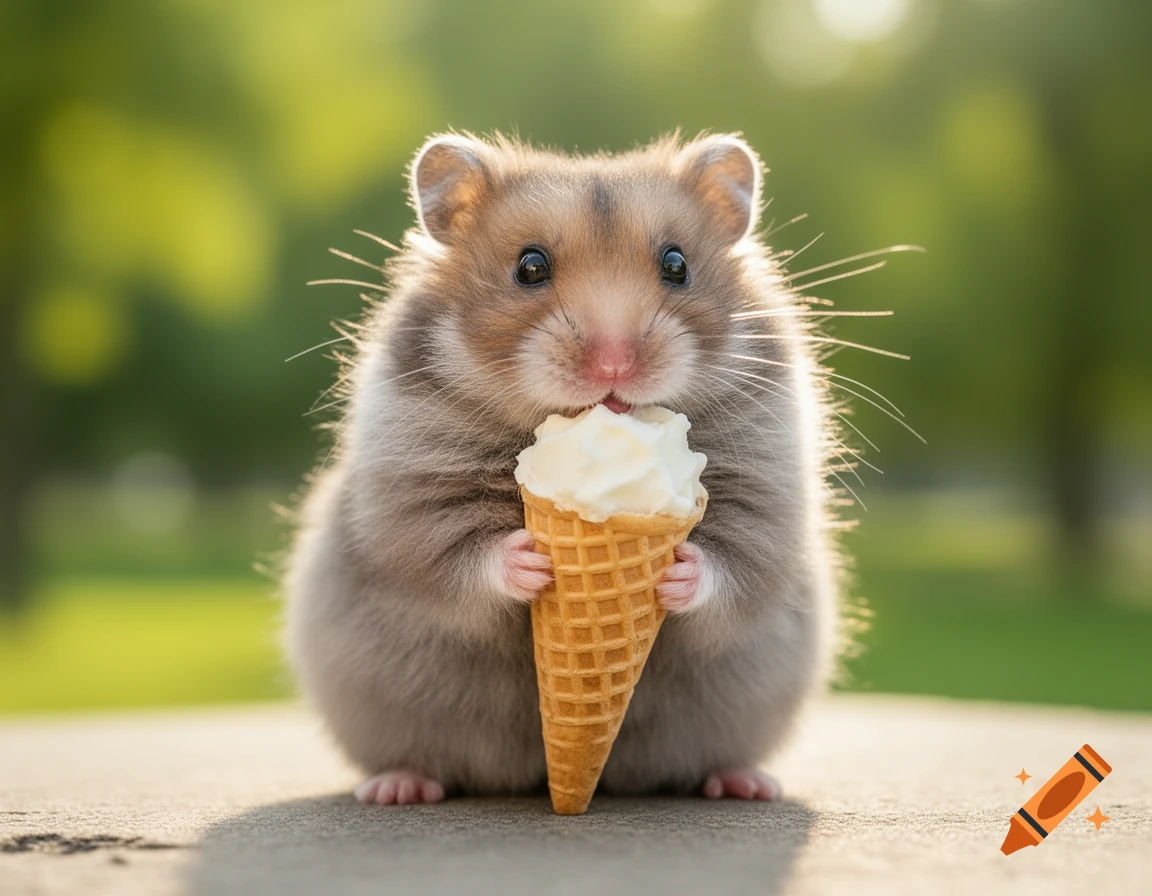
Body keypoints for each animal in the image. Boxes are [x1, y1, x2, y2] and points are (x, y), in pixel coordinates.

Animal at [284, 132, 843, 805]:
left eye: (677, 265)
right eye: (529, 267)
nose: (614, 366)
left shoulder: (766, 486)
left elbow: (735, 562)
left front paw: (677, 571)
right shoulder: (412, 496)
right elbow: (453, 556)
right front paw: (531, 560)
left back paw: (746, 784)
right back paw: (398, 788)